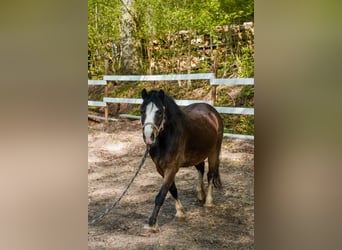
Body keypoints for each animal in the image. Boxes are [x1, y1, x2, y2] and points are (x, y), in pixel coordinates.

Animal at [140, 89, 223, 231]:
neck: (167, 137)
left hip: (214, 152)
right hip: (197, 155)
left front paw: (152, 223)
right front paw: (180, 211)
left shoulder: (172, 167)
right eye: (142, 111)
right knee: (201, 168)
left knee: (210, 174)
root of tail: (212, 111)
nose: (148, 137)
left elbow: (161, 194)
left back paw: (208, 202)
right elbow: (172, 189)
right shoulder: (160, 169)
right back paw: (200, 195)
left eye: (159, 112)